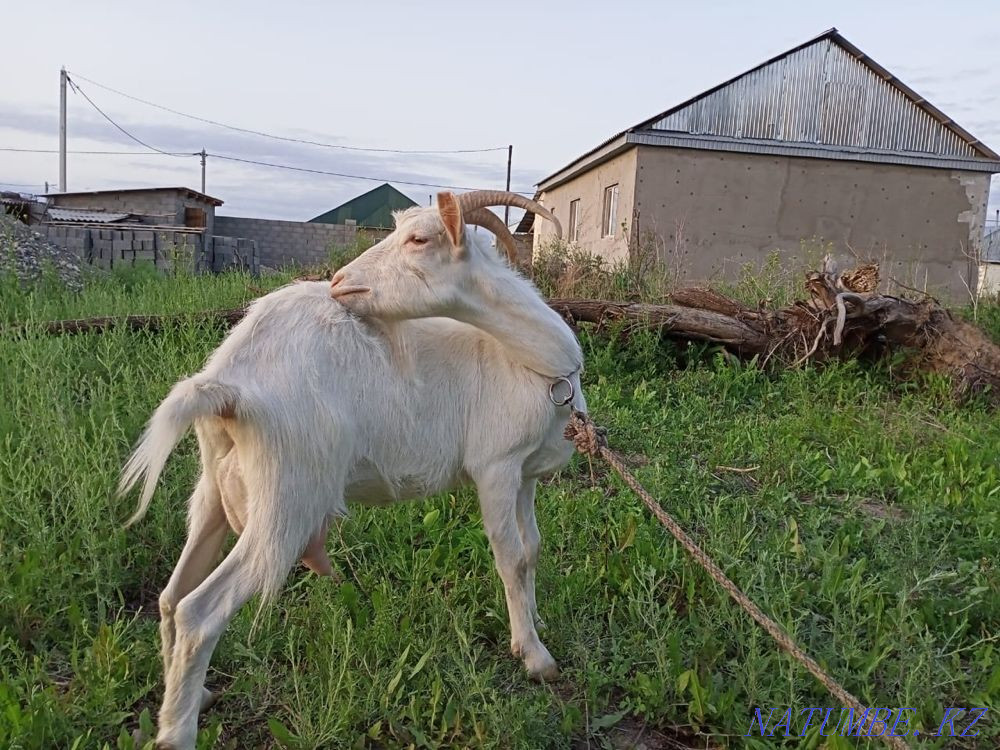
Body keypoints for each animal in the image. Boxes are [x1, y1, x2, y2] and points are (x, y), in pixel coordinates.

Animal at [119, 190, 584, 749]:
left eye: (418, 238)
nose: (340, 281)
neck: (537, 362)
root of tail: (227, 384)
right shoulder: (494, 467)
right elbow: (511, 558)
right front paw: (535, 656)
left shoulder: (526, 475)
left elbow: (532, 549)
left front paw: (533, 624)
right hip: (287, 500)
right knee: (198, 612)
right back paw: (178, 731)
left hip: (213, 489)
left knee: (171, 597)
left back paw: (191, 697)